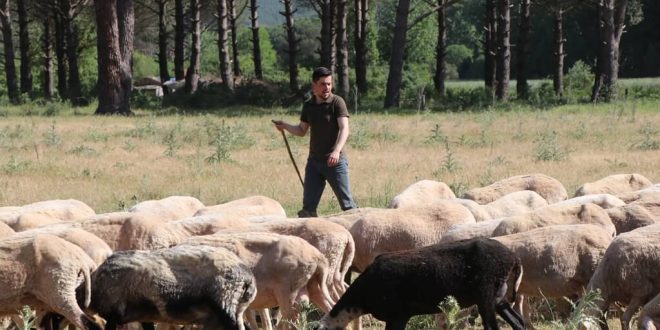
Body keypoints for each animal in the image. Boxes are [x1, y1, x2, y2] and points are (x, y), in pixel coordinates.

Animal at [318, 237, 524, 330]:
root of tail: (513, 258)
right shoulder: (401, 317)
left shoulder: (397, 316)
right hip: (499, 297)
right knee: (518, 323)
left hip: (486, 296)